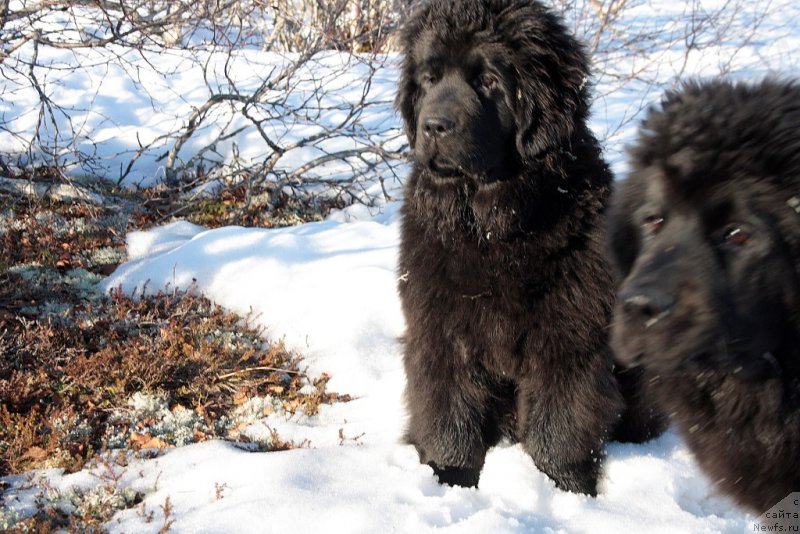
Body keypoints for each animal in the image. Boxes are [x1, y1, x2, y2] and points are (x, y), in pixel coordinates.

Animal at [394, 0, 664, 498]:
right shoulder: (440, 325)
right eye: (429, 79)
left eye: (488, 80)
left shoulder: (569, 330)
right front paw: (450, 478)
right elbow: (449, 411)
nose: (433, 126)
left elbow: (559, 421)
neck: (492, 226)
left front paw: (566, 488)